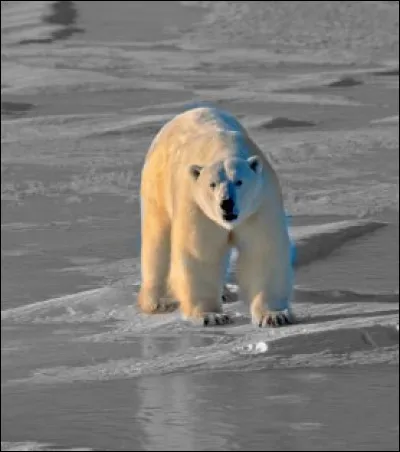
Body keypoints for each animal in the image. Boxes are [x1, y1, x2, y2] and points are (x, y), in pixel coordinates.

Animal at [138, 106, 294, 324]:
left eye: (239, 181)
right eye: (212, 184)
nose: (226, 203)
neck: (223, 148)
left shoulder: (260, 204)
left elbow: (262, 251)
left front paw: (274, 315)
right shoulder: (196, 206)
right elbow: (200, 253)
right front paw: (211, 315)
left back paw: (224, 293)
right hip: (157, 186)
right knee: (157, 242)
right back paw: (158, 302)